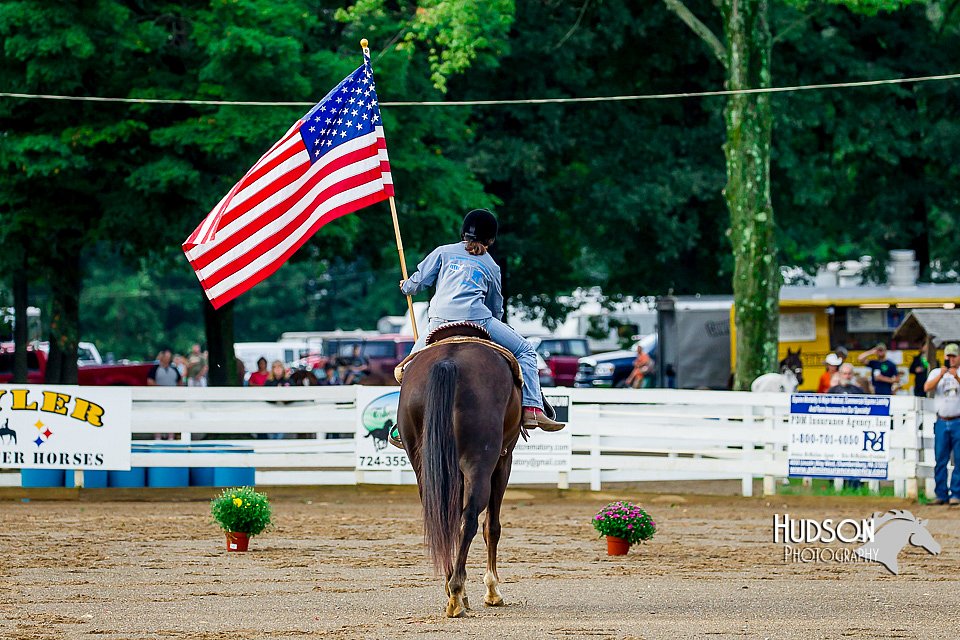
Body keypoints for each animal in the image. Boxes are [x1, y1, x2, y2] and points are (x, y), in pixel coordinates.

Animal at [396, 340, 520, 616]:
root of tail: (448, 361)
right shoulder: (503, 459)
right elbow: (492, 527)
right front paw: (492, 590)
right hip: (481, 463)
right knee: (470, 519)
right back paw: (456, 592)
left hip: (424, 463)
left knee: (442, 518)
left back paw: (453, 591)